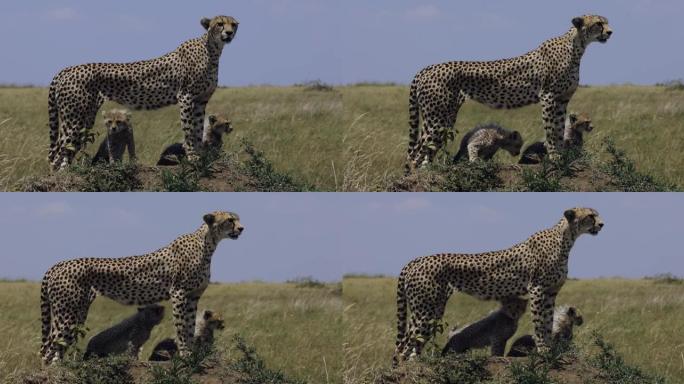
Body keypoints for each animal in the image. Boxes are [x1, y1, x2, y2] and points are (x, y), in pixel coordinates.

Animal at [39, 210, 243, 364]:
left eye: (237, 218)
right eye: (230, 220)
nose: (242, 228)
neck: (208, 243)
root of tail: (57, 265)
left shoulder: (193, 296)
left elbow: (190, 325)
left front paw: (192, 353)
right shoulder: (179, 294)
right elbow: (181, 327)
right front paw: (185, 354)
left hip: (77, 312)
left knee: (58, 344)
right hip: (66, 313)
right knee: (49, 348)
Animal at [46, 16, 238, 170]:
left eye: (234, 24)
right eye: (220, 24)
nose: (229, 33)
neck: (213, 49)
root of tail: (65, 70)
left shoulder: (200, 100)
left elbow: (198, 129)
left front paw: (201, 156)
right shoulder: (186, 97)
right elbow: (189, 129)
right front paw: (192, 156)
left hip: (84, 118)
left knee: (66, 149)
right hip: (74, 119)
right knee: (56, 153)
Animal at [392, 208, 600, 364]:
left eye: (596, 214)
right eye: (591, 215)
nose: (602, 224)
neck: (566, 238)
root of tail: (415, 260)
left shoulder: (550, 292)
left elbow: (548, 321)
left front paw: (549, 348)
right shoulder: (537, 290)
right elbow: (540, 323)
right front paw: (543, 350)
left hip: (433, 308)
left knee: (412, 342)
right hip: (424, 310)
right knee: (403, 346)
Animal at [406, 16, 616, 170]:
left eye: (606, 22)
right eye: (599, 23)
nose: (610, 32)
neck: (577, 45)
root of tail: (425, 69)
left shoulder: (562, 99)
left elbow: (558, 128)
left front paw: (561, 156)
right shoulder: (548, 97)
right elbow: (550, 130)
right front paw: (554, 156)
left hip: (442, 116)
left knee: (424, 148)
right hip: (437, 119)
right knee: (415, 152)